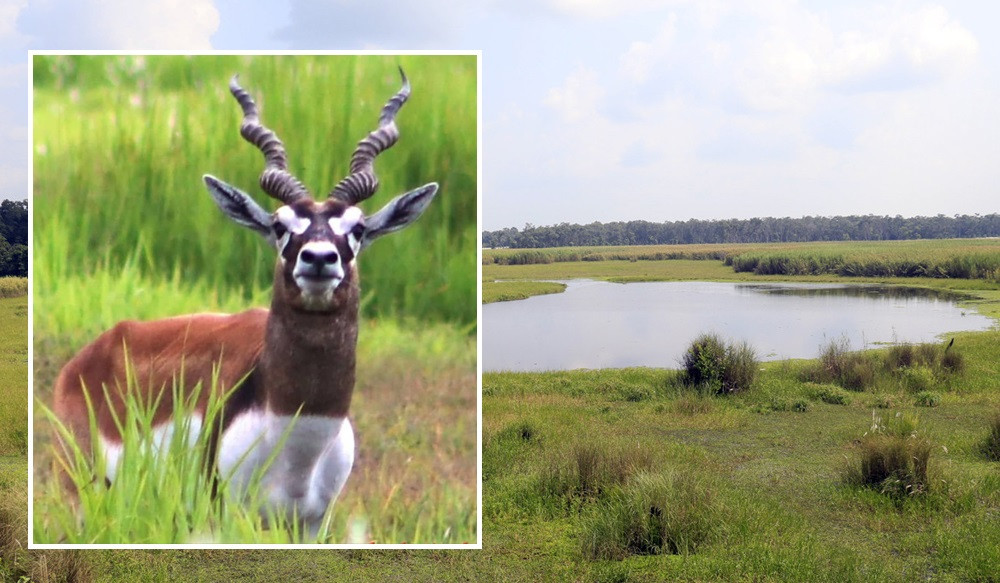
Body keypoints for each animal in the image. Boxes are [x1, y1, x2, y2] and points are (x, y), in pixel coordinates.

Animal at [52, 68, 438, 540]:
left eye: (358, 229)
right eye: (279, 225)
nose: (319, 258)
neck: (297, 436)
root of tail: (89, 356)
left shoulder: (313, 522)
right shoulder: (223, 511)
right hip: (80, 496)